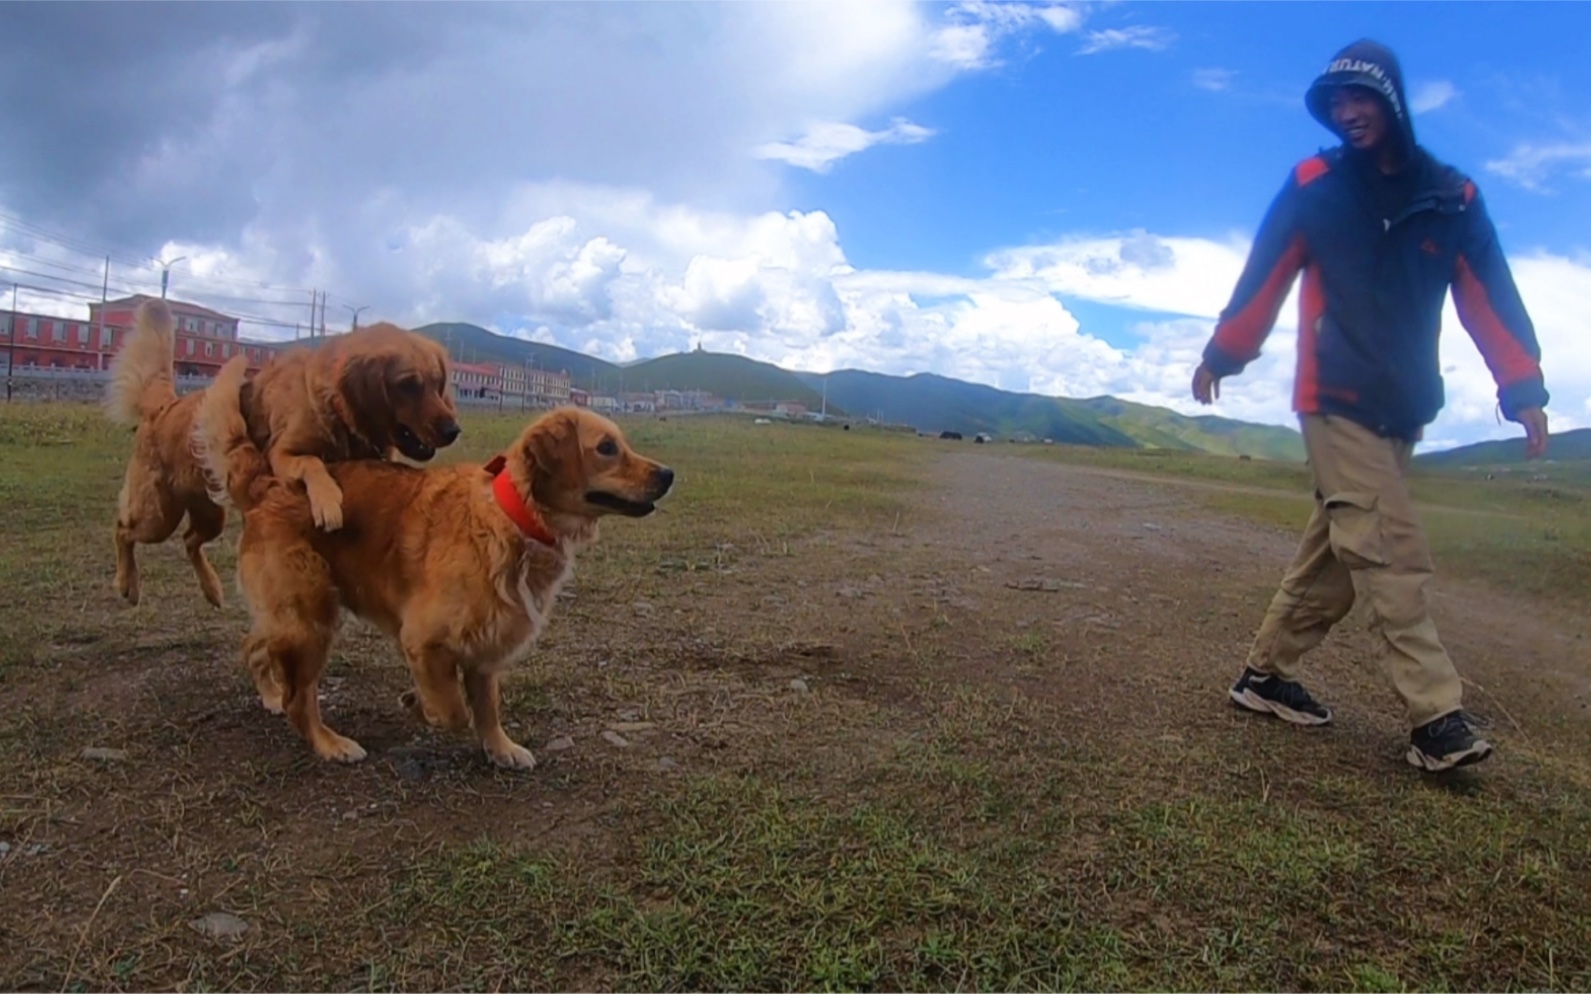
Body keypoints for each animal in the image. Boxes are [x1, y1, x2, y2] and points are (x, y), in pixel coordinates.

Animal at [105, 298, 461, 604]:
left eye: (437, 382)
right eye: (408, 384)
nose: (453, 430)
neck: (334, 407)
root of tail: (164, 406)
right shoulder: (282, 455)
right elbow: (313, 462)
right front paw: (328, 503)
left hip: (210, 514)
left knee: (189, 540)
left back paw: (212, 589)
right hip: (157, 516)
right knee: (123, 530)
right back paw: (128, 584)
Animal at [195, 383, 674, 763]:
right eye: (607, 448)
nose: (668, 474)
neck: (513, 517)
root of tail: (268, 486)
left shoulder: (488, 643)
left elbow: (486, 707)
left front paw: (500, 748)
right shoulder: (423, 640)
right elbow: (454, 711)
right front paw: (417, 703)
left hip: (294, 614)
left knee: (254, 646)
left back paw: (270, 694)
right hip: (310, 618)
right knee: (300, 698)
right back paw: (329, 742)